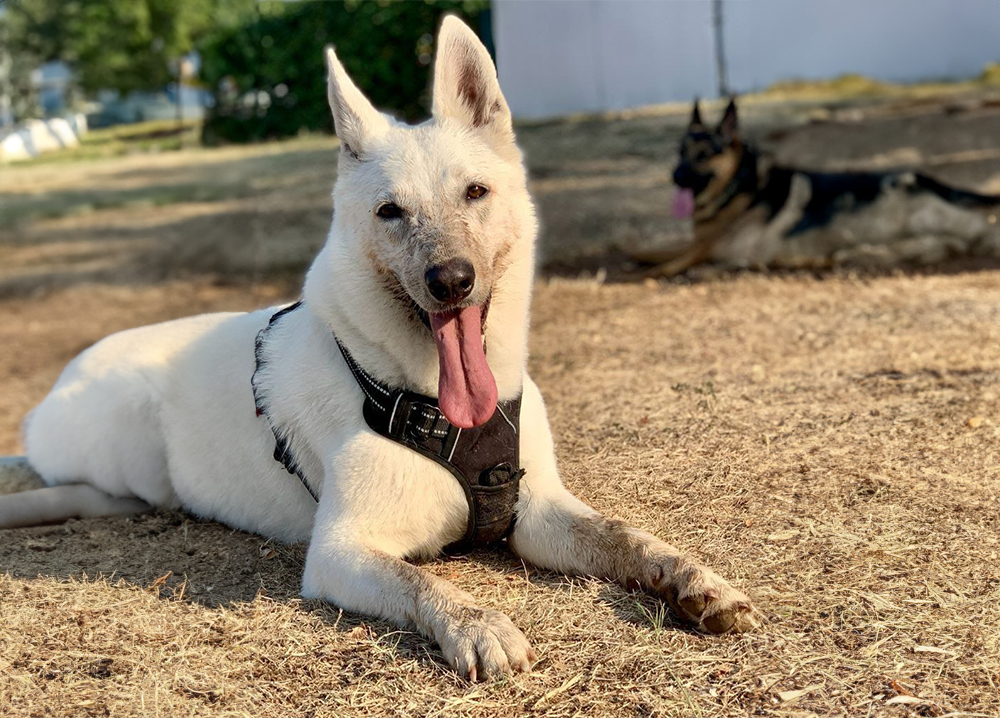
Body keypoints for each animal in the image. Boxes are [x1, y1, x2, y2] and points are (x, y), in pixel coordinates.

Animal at [0, 16, 752, 680]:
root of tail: (52, 394)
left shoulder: (538, 514)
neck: (422, 399)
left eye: (476, 192)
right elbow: (423, 583)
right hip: (130, 442)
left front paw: (696, 580)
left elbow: (625, 534)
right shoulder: (340, 552)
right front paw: (478, 625)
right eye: (390, 212)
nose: (451, 281)